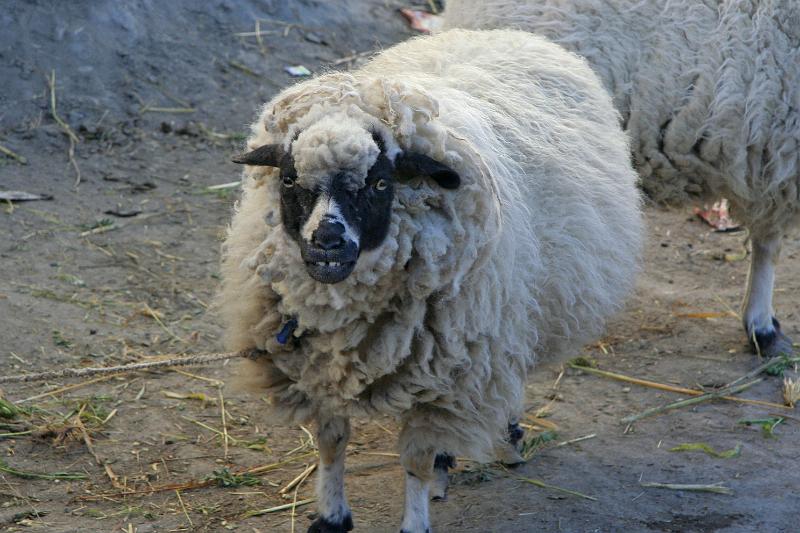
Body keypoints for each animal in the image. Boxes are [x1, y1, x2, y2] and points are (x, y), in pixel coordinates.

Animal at [219, 28, 642, 532]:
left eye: (381, 184)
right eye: (287, 179)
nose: (327, 241)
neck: (343, 318)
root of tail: (505, 34)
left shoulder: (449, 372)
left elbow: (415, 461)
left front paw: (415, 521)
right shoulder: (316, 368)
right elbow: (331, 442)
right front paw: (332, 515)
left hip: (506, 318)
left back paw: (507, 441)